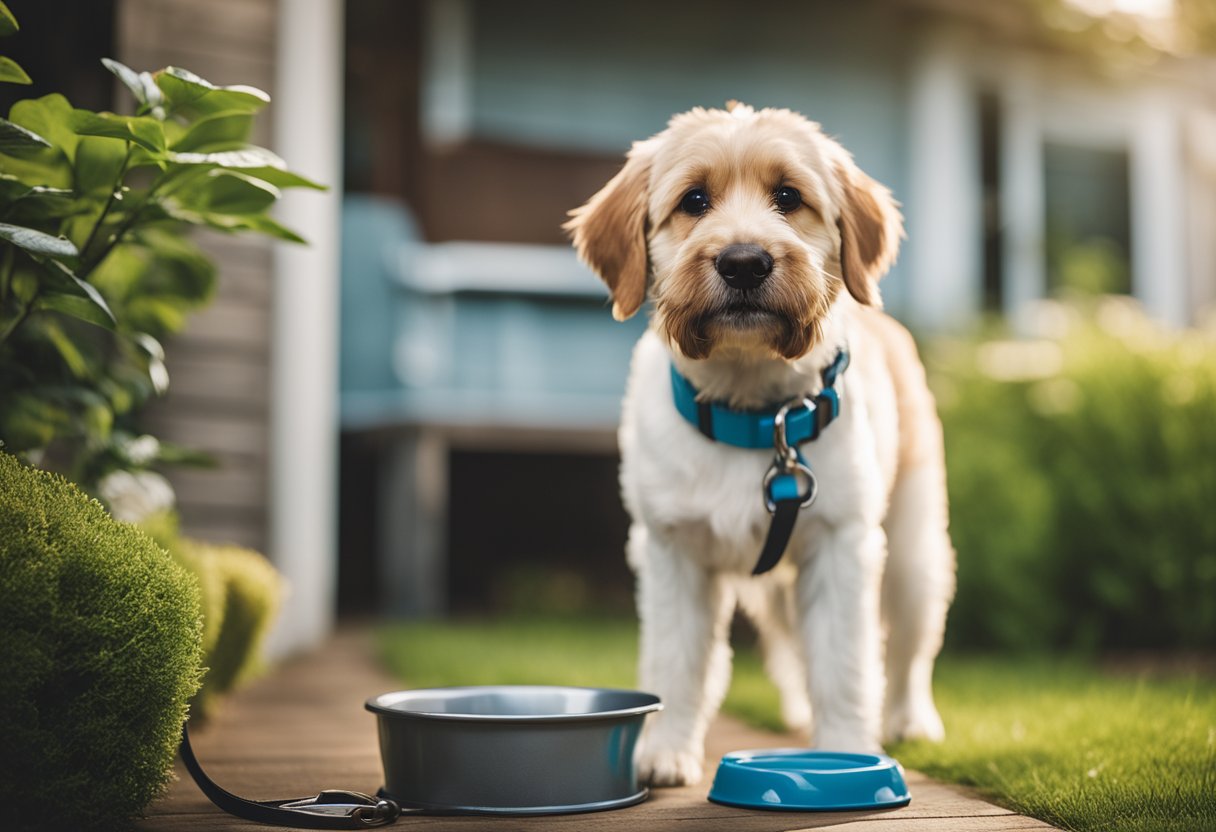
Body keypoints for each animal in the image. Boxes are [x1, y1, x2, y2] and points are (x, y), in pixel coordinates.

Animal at [564, 104, 953, 788]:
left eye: (788, 197)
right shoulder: (670, 551)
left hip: (913, 552)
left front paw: (847, 747)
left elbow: (845, 663)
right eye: (694, 200)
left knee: (907, 648)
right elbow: (677, 661)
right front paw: (666, 750)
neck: (752, 412)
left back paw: (910, 720)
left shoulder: (842, 546)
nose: (744, 262)